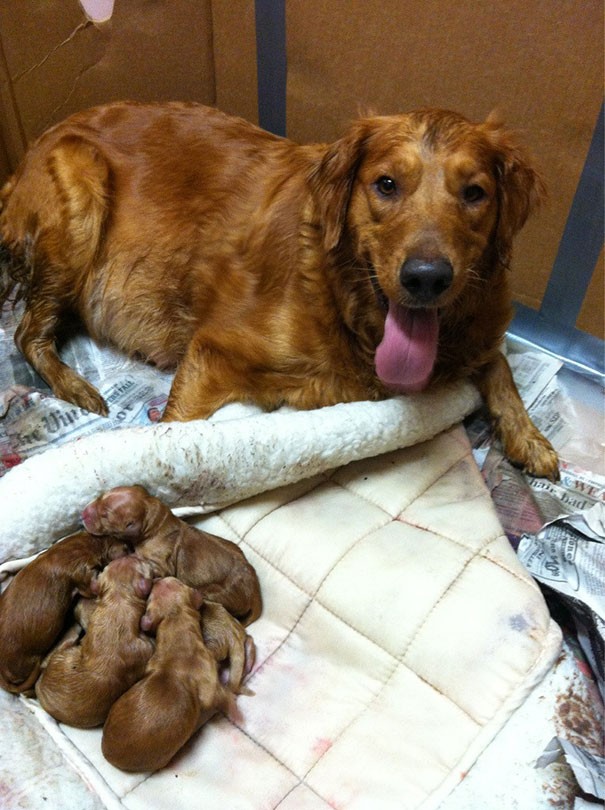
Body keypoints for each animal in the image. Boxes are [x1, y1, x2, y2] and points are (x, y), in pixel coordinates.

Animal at [0, 102, 556, 480]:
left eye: (475, 193)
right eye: (386, 184)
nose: (427, 277)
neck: (347, 306)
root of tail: (25, 156)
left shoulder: (480, 330)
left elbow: (500, 364)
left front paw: (530, 438)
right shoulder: (211, 352)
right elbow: (172, 436)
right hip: (80, 188)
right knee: (26, 334)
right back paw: (77, 389)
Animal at [34, 556, 155, 724]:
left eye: (107, 567)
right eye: (141, 564)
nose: (130, 555)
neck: (117, 605)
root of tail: (40, 685)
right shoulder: (146, 648)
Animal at [81, 486, 260, 624]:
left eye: (105, 515)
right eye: (100, 496)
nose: (83, 513)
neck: (156, 523)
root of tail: (255, 594)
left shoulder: (161, 565)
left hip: (216, 592)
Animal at [102, 576, 237, 772]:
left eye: (151, 596)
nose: (156, 578)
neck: (176, 620)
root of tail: (108, 756)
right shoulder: (208, 671)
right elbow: (213, 695)